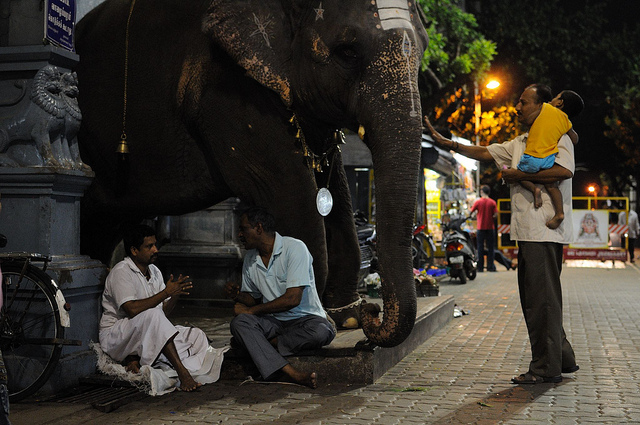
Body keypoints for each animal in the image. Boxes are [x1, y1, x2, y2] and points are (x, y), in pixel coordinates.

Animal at [75, 0, 428, 347]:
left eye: (423, 50)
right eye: (347, 51)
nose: (373, 315)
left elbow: (335, 189)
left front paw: (349, 317)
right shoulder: (229, 95)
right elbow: (291, 193)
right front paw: (316, 319)